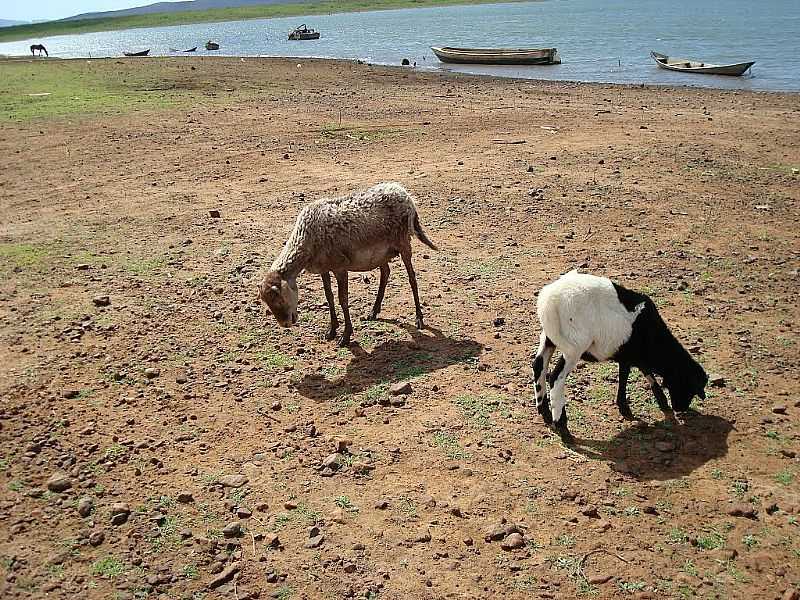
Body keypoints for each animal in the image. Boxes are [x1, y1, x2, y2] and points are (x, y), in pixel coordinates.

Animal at [532, 272, 708, 440]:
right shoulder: (630, 352)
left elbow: (644, 372)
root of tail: (549, 300)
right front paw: (626, 407)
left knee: (538, 365)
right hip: (573, 347)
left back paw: (544, 412)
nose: (681, 409)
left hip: (549, 338)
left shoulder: (631, 354)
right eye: (689, 385)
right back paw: (562, 427)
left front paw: (661, 401)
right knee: (555, 378)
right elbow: (627, 375)